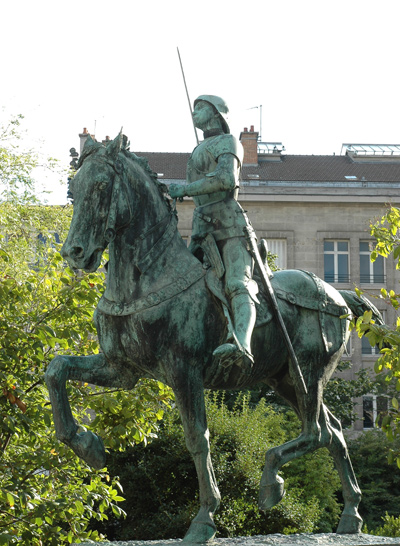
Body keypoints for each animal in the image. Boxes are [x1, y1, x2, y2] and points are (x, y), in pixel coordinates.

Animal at [46, 131, 372, 540]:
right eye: (72, 190)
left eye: (103, 185)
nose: (74, 251)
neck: (148, 277)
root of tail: (337, 295)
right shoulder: (120, 369)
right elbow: (56, 370)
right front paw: (86, 444)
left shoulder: (184, 372)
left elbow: (197, 439)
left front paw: (204, 519)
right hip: (285, 379)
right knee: (335, 432)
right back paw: (351, 514)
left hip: (309, 374)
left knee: (318, 433)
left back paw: (272, 482)